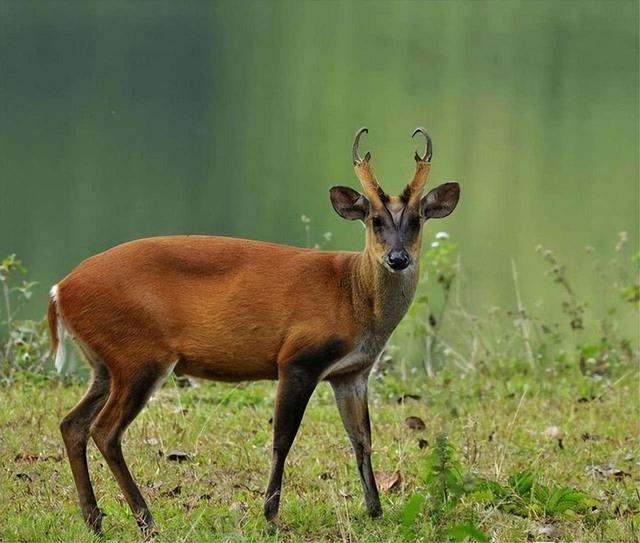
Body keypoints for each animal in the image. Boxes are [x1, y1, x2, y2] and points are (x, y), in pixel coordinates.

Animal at [50, 126, 460, 536]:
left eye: (417, 220)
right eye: (375, 220)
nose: (397, 258)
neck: (353, 295)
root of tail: (60, 290)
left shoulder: (352, 372)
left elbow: (362, 439)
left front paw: (375, 510)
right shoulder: (298, 358)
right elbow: (283, 438)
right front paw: (271, 514)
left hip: (106, 363)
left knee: (73, 424)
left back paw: (94, 520)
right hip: (139, 355)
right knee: (105, 431)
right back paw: (146, 521)